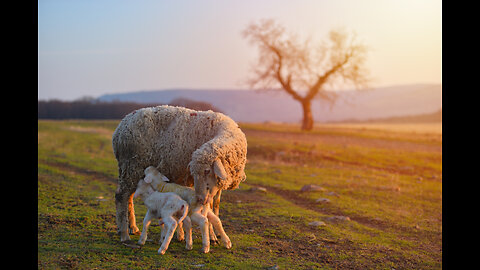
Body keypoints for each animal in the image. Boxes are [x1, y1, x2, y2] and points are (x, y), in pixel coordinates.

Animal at [112, 104, 248, 242]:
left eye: (207, 171)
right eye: (194, 173)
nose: (199, 198)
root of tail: (120, 128)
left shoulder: (216, 186)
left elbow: (216, 206)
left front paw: (215, 234)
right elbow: (209, 208)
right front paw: (212, 236)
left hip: (132, 170)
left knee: (129, 196)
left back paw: (133, 227)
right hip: (131, 166)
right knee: (121, 196)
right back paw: (124, 234)